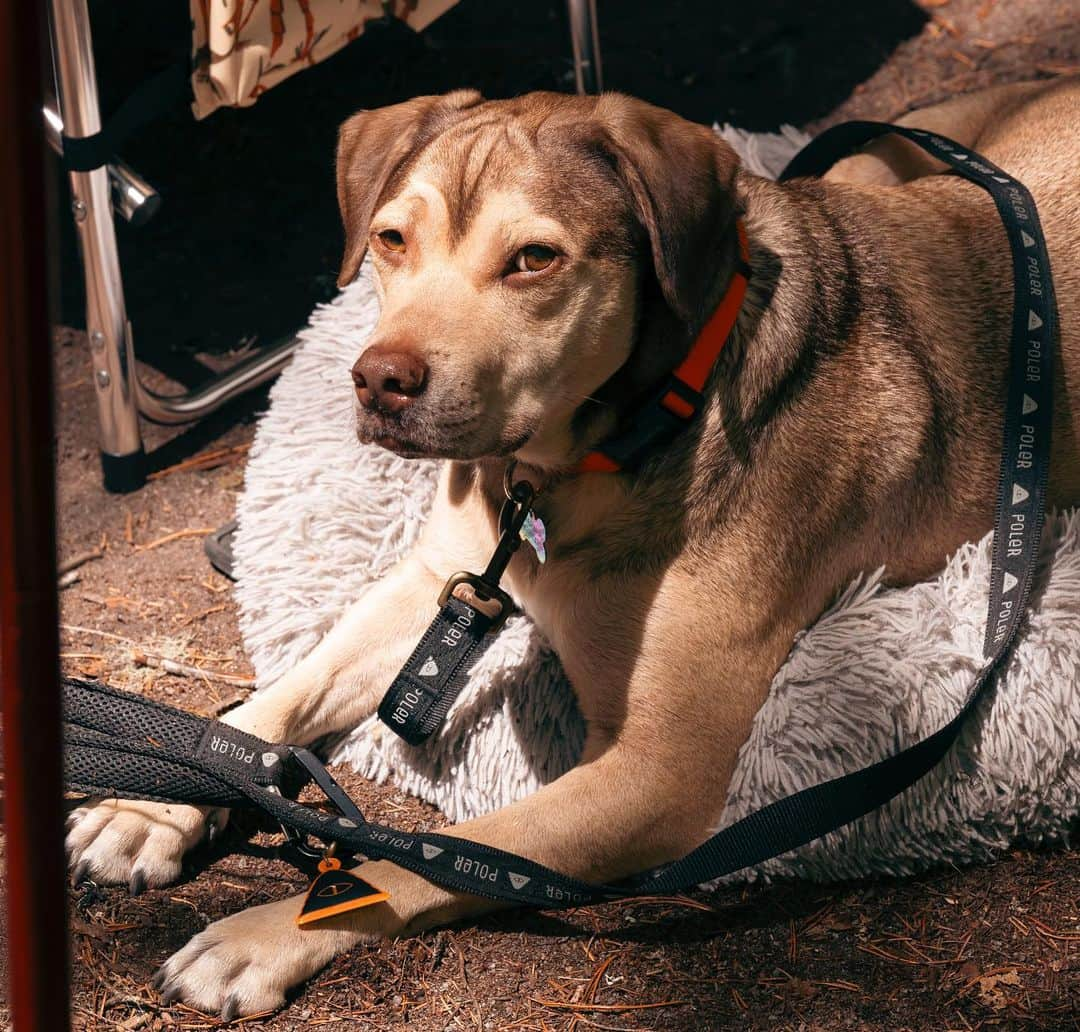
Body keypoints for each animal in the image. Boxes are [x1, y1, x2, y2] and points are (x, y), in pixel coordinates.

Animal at [67, 78, 1080, 1014]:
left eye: (534, 259)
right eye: (391, 240)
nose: (381, 380)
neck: (599, 449)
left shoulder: (656, 770)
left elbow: (448, 852)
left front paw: (262, 934)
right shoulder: (434, 577)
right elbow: (278, 699)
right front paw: (149, 801)